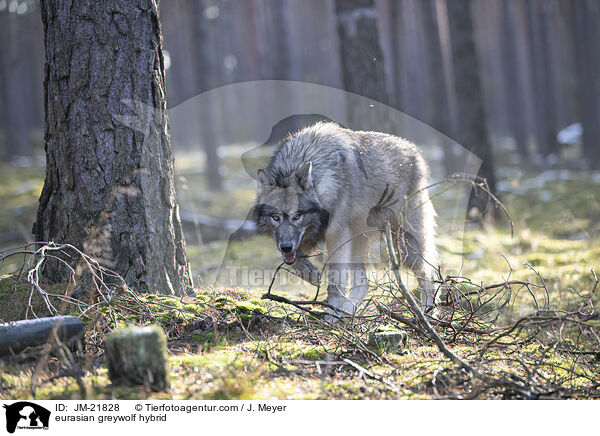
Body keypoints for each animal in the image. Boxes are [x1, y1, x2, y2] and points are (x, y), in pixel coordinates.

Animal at [253, 121, 436, 318]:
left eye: (297, 216)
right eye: (275, 217)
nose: (286, 246)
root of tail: (415, 151)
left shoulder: (336, 236)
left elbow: (335, 282)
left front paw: (331, 314)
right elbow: (295, 259)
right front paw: (310, 274)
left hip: (403, 245)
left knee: (429, 273)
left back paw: (427, 315)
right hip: (359, 241)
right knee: (364, 283)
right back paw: (347, 312)